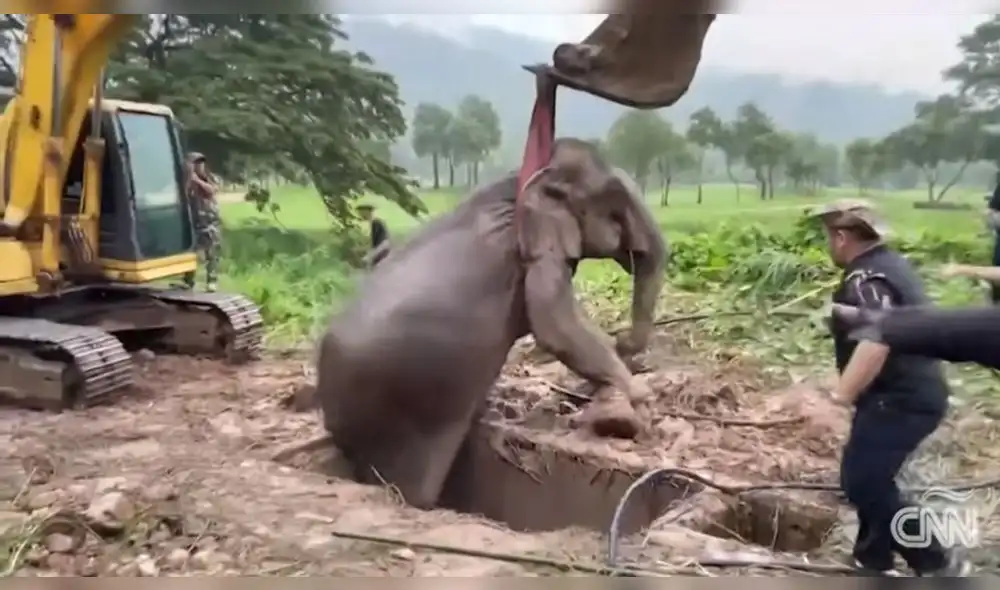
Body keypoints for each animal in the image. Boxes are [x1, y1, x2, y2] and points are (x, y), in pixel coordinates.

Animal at [314, 138, 667, 509]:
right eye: (615, 204)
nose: (623, 342)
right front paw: (641, 401)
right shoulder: (539, 248)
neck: (515, 181)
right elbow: (553, 324)